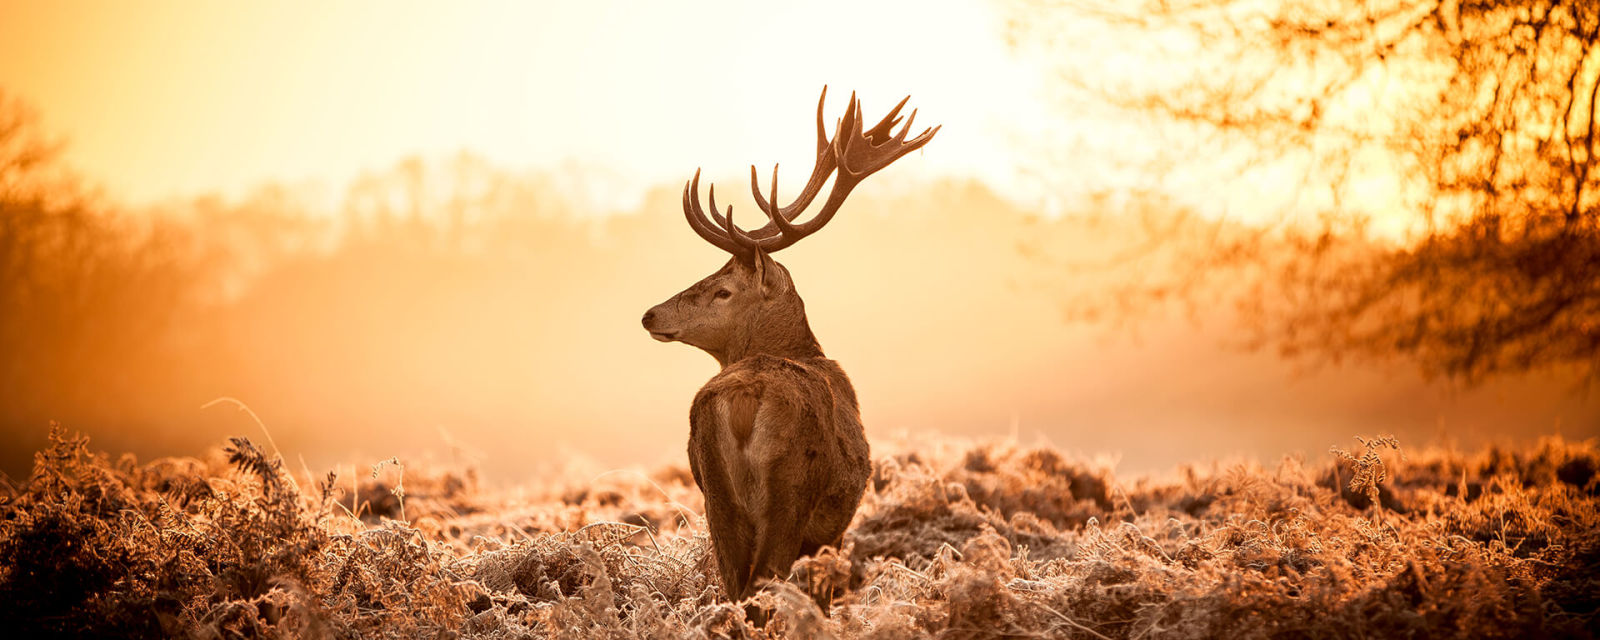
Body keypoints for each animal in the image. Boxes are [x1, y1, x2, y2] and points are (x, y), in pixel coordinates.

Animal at [641, 87, 938, 604]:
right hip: (791, 490)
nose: (650, 314)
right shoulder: (832, 529)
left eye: (722, 290)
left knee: (735, 584)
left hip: (715, 493)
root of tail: (744, 399)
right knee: (763, 582)